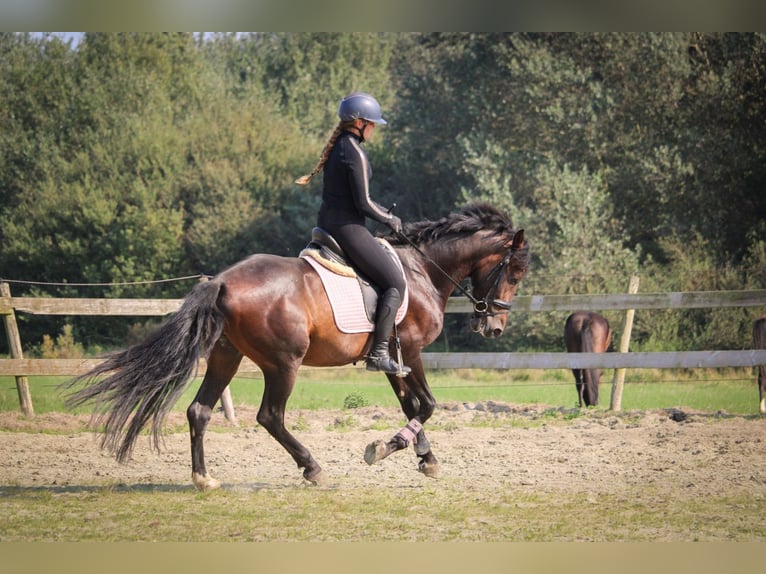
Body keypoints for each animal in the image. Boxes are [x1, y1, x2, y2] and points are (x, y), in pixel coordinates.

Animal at [66, 202, 532, 490]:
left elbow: (411, 406)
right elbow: (428, 405)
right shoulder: (412, 352)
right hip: (283, 363)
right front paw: (387, 449)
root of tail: (222, 281)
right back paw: (313, 468)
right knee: (270, 416)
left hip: (226, 356)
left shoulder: (393, 359)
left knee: (199, 411)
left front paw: (423, 457)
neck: (421, 270)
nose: (494, 327)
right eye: (514, 272)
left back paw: (204, 478)